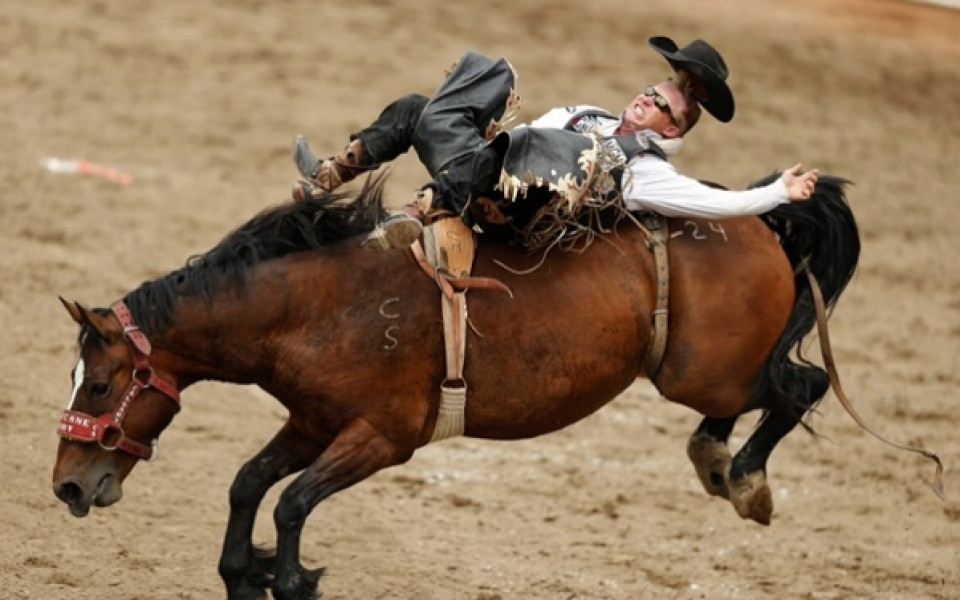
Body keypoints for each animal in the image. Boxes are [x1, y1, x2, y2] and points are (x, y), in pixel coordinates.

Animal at [50, 175, 864, 600]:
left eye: (99, 386)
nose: (66, 486)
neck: (319, 306)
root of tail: (758, 217)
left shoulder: (380, 439)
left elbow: (291, 504)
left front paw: (291, 576)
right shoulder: (311, 421)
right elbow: (250, 483)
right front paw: (244, 573)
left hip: (703, 369)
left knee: (800, 384)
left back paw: (747, 480)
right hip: (701, 374)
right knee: (755, 401)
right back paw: (718, 462)